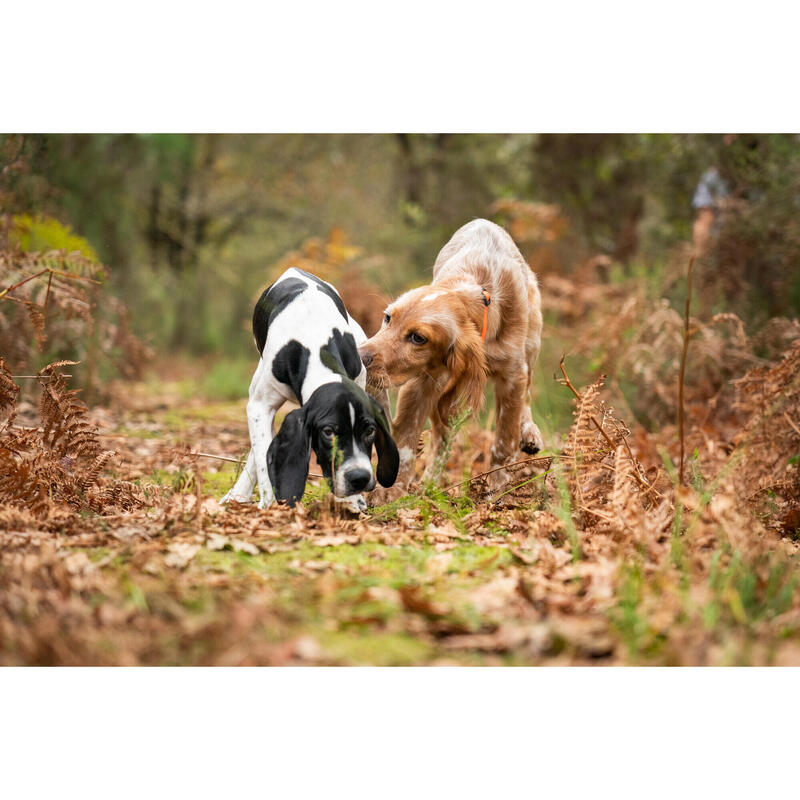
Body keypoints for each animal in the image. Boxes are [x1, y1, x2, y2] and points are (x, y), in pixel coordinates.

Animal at [220, 266, 398, 510]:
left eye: (370, 430)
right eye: (328, 432)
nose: (359, 478)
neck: (315, 348)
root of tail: (294, 269)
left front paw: (352, 500)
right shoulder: (260, 406)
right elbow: (264, 460)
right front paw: (270, 505)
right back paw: (239, 493)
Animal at [358, 219, 540, 500]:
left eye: (418, 338)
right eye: (388, 318)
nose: (359, 355)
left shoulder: (513, 376)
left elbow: (504, 441)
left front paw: (499, 486)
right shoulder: (421, 383)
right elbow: (407, 441)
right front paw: (392, 491)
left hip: (532, 342)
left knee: (528, 395)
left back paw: (530, 433)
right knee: (441, 440)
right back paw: (429, 483)